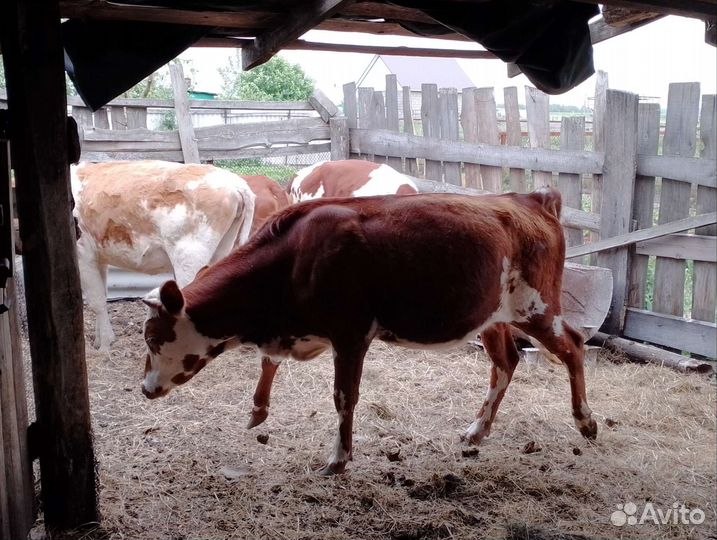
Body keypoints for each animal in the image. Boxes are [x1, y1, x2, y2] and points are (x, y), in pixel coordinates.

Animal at [72, 160, 255, 353]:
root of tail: (237, 183)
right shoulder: (99, 257)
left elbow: (97, 301)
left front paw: (104, 347)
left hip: (189, 255)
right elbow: (103, 295)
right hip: (221, 250)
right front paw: (99, 341)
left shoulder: (82, 254)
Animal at [140, 187, 597, 475]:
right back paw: (477, 431)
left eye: (152, 337)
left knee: (573, 346)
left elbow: (344, 397)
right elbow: (269, 362)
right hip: (493, 317)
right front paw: (258, 410)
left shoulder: (350, 335)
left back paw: (586, 423)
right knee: (506, 362)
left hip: (536, 307)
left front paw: (338, 460)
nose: (144, 389)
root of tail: (531, 199)